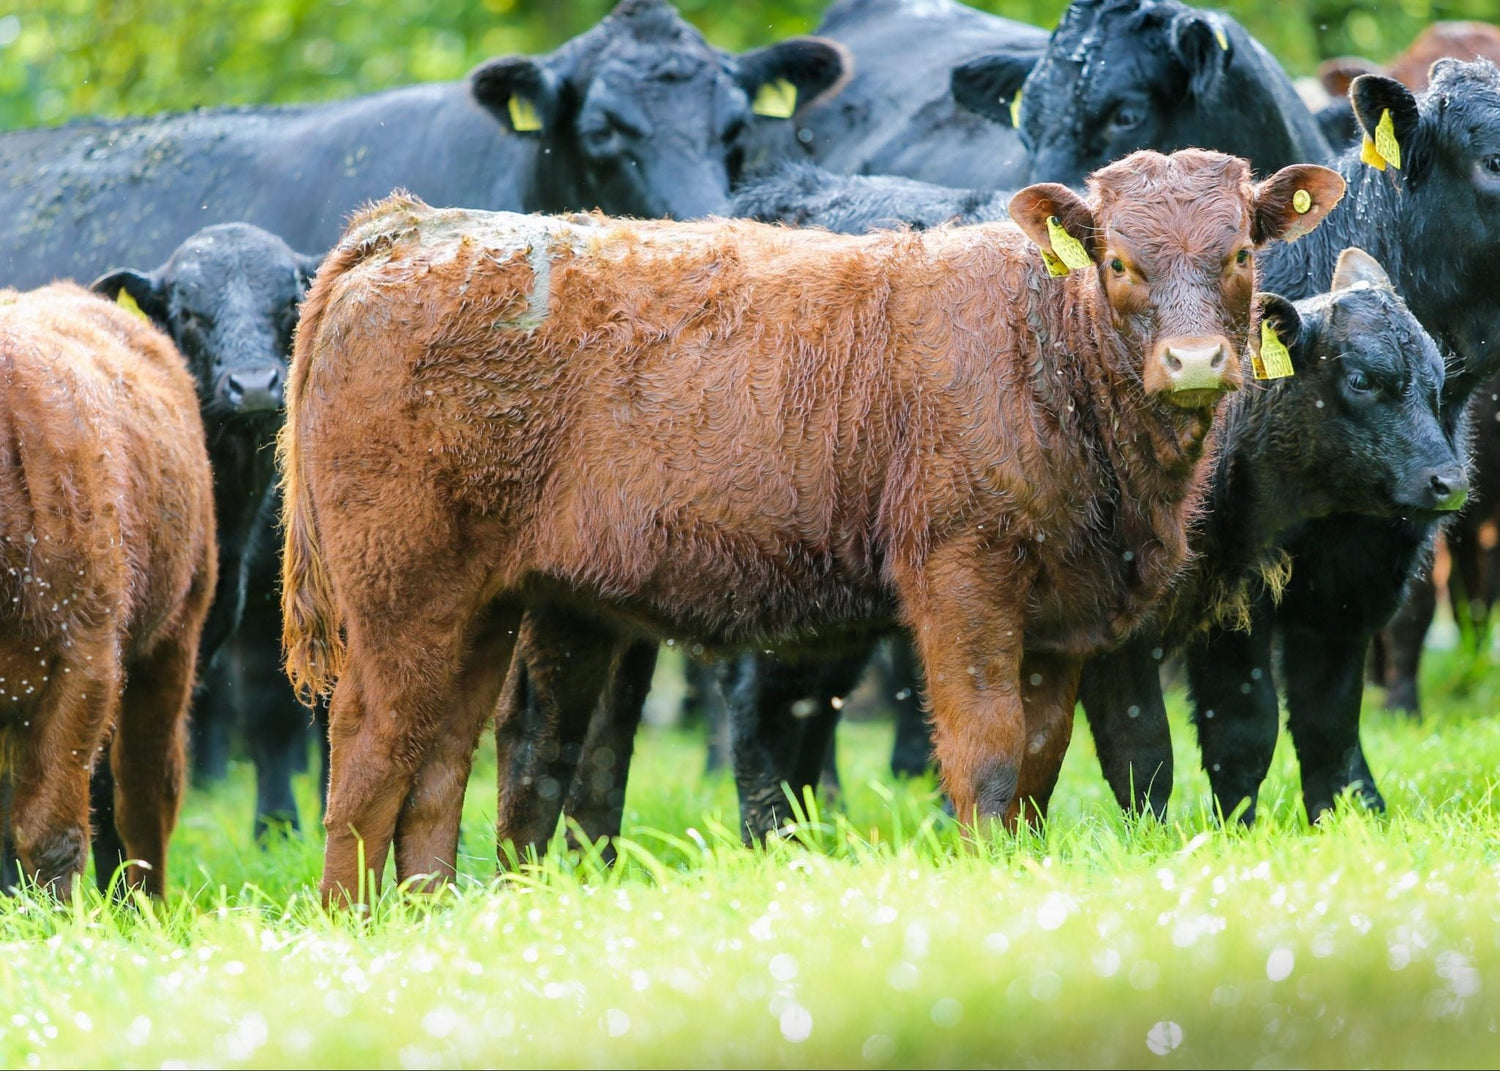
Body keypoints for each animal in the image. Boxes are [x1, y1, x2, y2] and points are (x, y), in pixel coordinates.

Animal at [276, 151, 1342, 901]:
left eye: (1241, 253)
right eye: (1120, 261)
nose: (1195, 360)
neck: (1044, 348)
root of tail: (414, 229)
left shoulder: (1058, 621)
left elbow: (1039, 761)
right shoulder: (963, 579)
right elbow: (986, 751)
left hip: (486, 606)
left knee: (441, 758)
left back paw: (430, 913)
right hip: (402, 596)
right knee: (368, 752)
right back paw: (352, 923)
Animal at [1095, 61, 1500, 824]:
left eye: (1435, 380)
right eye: (1494, 161)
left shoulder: (1358, 582)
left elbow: (1327, 718)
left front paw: (1353, 815)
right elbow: (1232, 726)